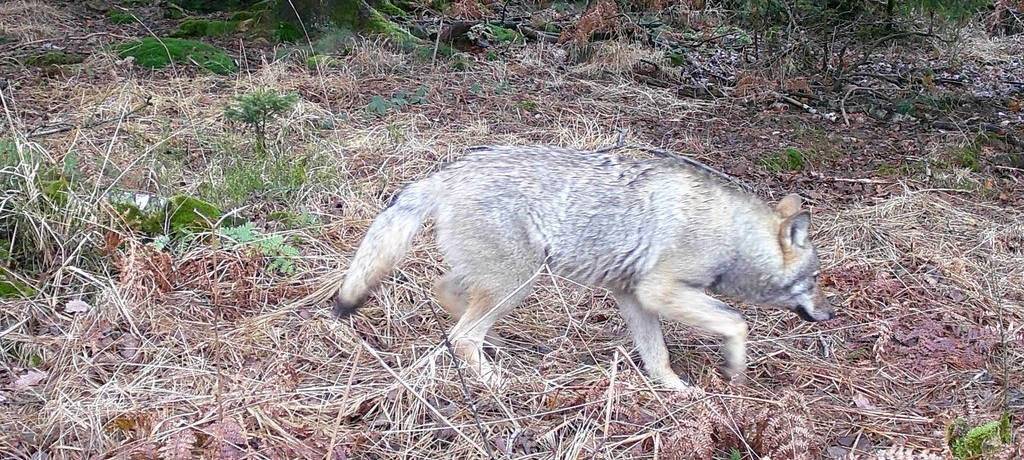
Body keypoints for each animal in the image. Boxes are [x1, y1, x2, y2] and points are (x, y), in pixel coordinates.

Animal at [329, 145, 835, 391]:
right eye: (813, 281)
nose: (831, 314)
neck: (730, 234)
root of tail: (451, 171)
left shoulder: (633, 298)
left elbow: (658, 356)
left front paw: (678, 391)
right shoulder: (658, 292)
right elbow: (737, 321)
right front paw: (734, 370)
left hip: (508, 280)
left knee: (448, 297)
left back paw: (498, 347)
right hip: (521, 280)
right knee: (462, 335)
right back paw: (494, 379)